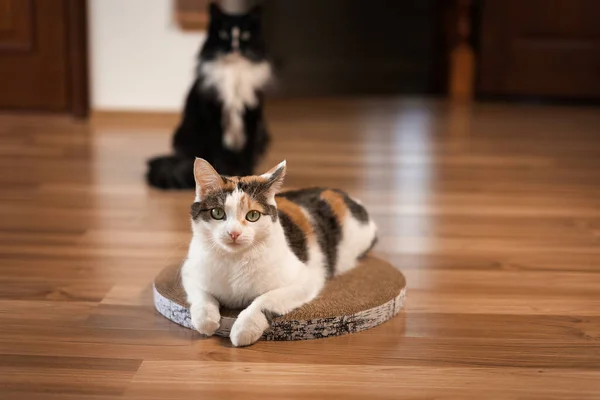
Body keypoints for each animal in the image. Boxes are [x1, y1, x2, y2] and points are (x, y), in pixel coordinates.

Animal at [146, 3, 274, 190]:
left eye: (245, 34)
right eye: (223, 34)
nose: (235, 48)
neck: (233, 71)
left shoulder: (251, 113)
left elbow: (247, 152)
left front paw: (246, 175)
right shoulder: (214, 112)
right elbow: (218, 150)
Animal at [183, 158, 378, 346]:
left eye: (252, 215)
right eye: (217, 212)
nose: (234, 233)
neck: (235, 260)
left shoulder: (307, 279)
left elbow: (265, 300)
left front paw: (243, 329)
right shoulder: (189, 270)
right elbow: (201, 296)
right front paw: (207, 320)